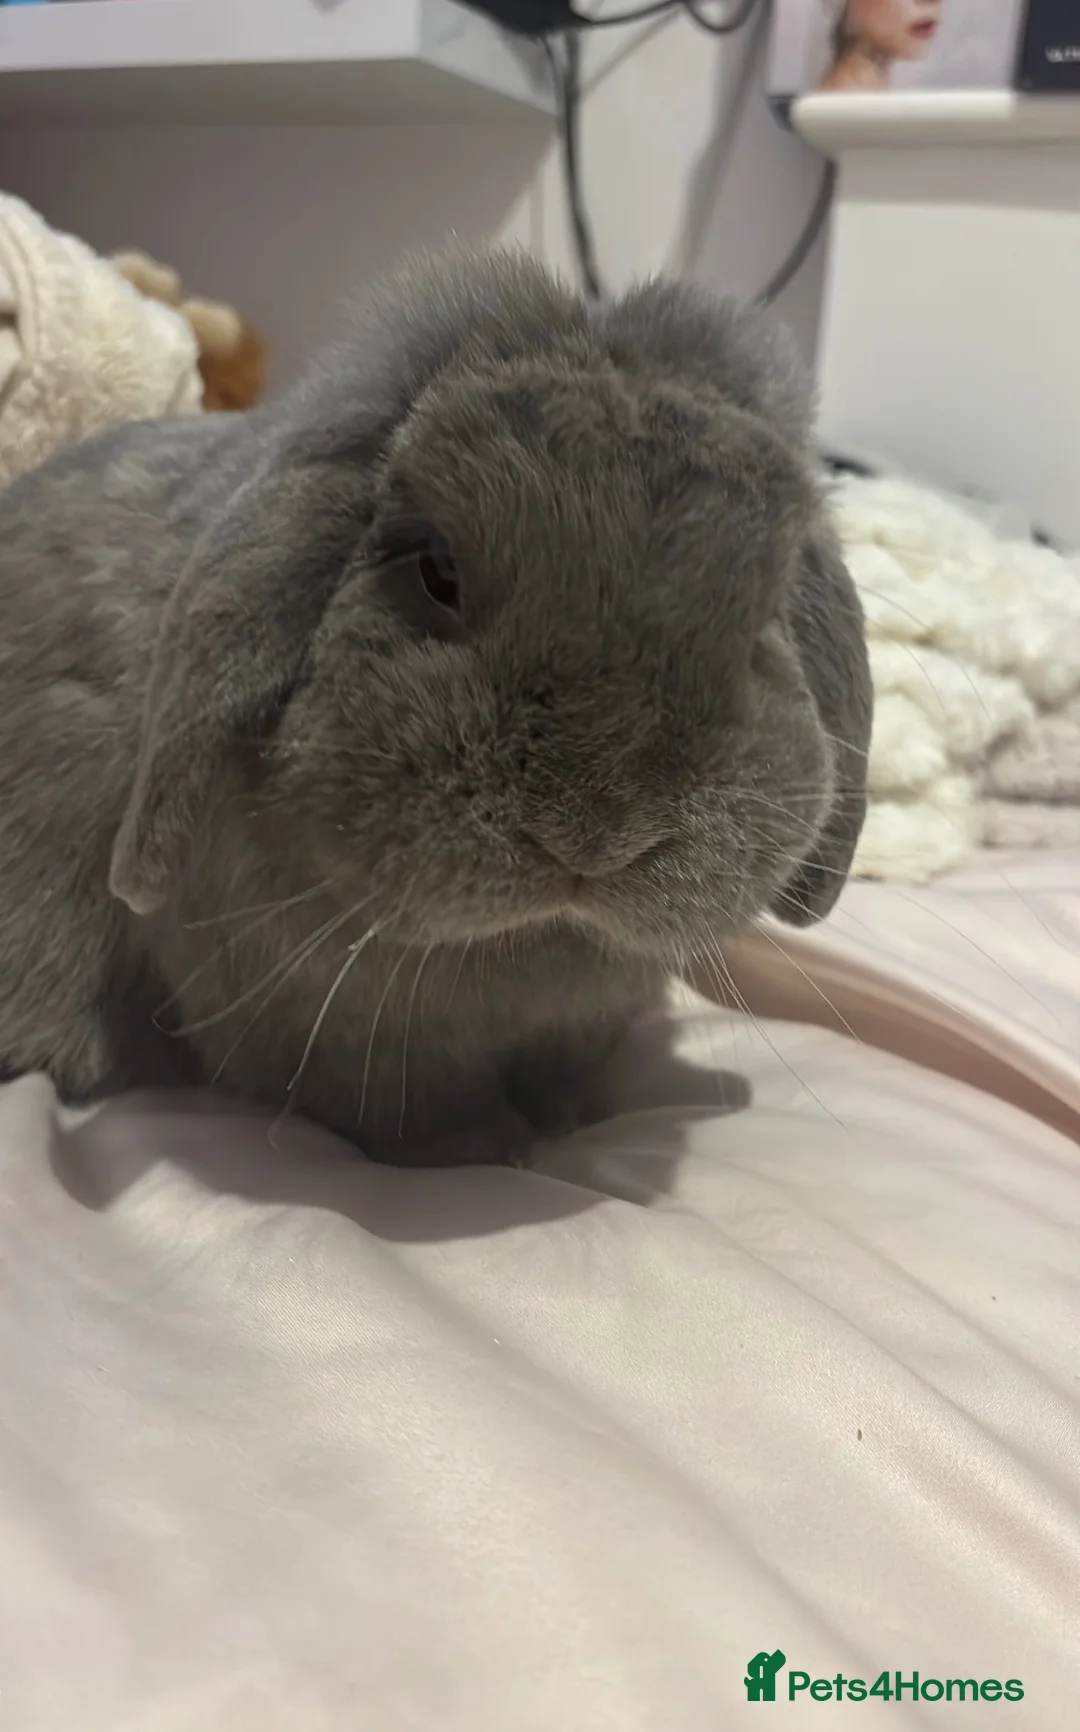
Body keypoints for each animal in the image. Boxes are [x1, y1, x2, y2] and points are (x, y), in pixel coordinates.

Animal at [0, 249, 870, 1166]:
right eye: (435, 571)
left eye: (762, 619)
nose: (595, 835)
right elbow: (420, 1117)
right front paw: (495, 1150)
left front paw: (569, 1126)